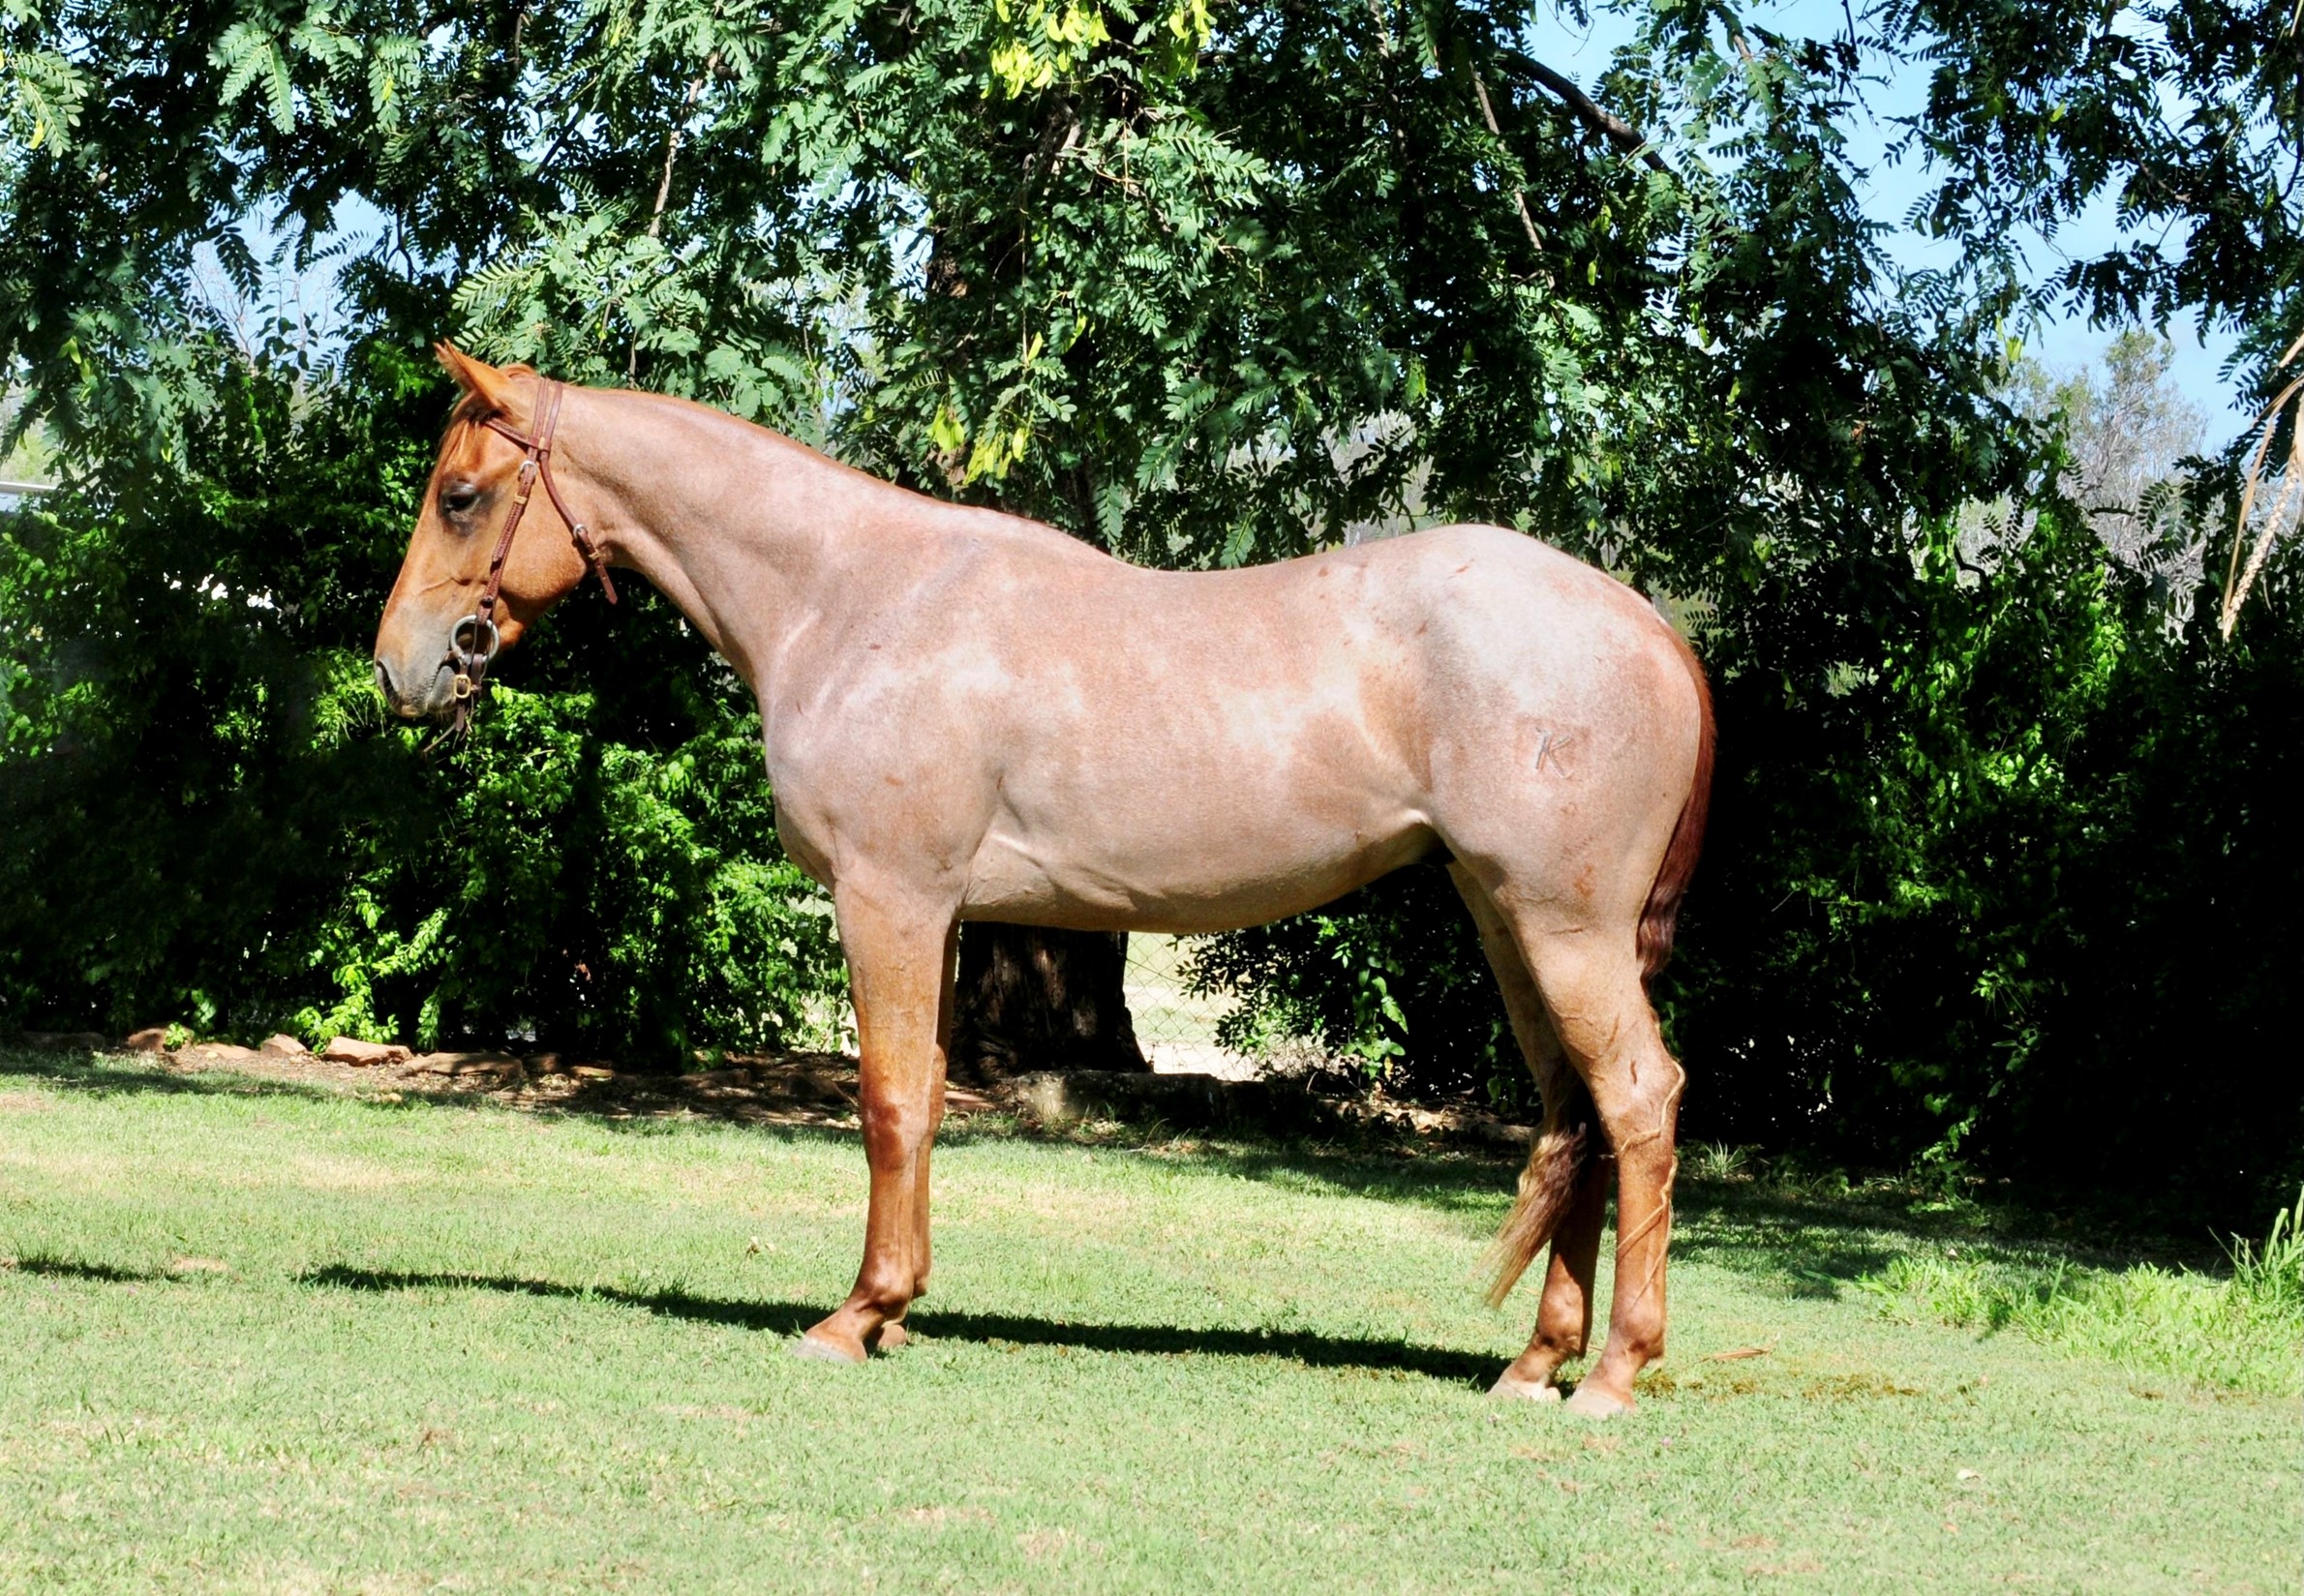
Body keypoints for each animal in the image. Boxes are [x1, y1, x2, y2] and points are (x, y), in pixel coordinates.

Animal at [373, 344, 1714, 1417]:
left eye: (459, 495)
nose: (398, 668)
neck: (847, 595)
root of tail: (1646, 623)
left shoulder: (888, 898)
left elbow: (887, 1102)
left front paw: (851, 1317)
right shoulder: (937, 914)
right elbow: (922, 1097)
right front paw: (895, 1306)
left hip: (1565, 930)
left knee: (1637, 1100)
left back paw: (1611, 1374)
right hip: (1509, 924)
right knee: (1574, 1116)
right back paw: (1535, 1362)